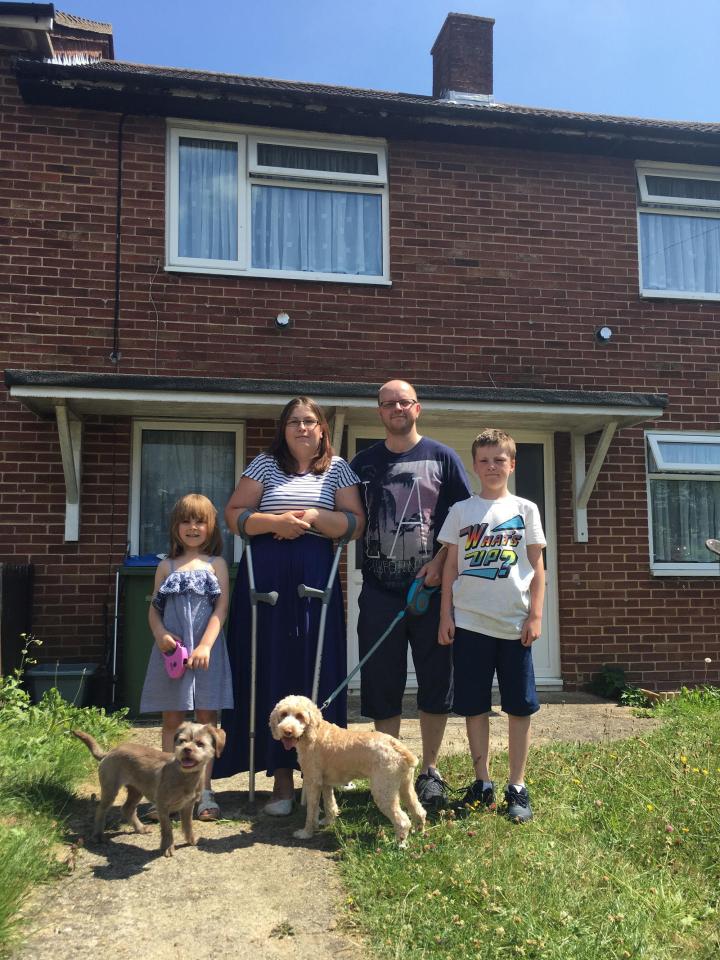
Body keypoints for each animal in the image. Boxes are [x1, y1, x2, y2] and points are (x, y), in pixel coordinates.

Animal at [73, 720, 224, 856]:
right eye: (182, 741)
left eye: (200, 744)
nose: (186, 749)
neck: (184, 775)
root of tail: (108, 753)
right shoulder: (162, 806)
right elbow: (167, 828)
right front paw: (167, 847)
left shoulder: (188, 805)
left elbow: (188, 825)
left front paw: (190, 840)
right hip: (111, 789)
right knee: (101, 810)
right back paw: (98, 835)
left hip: (136, 790)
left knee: (127, 808)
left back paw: (140, 828)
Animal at [270, 692, 428, 844]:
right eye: (283, 714)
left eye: (300, 716)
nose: (287, 731)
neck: (314, 733)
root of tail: (397, 746)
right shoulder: (325, 783)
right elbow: (329, 804)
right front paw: (328, 822)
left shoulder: (313, 782)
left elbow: (311, 810)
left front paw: (306, 833)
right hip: (405, 787)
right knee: (419, 811)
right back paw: (419, 833)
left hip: (384, 792)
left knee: (403, 821)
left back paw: (399, 844)